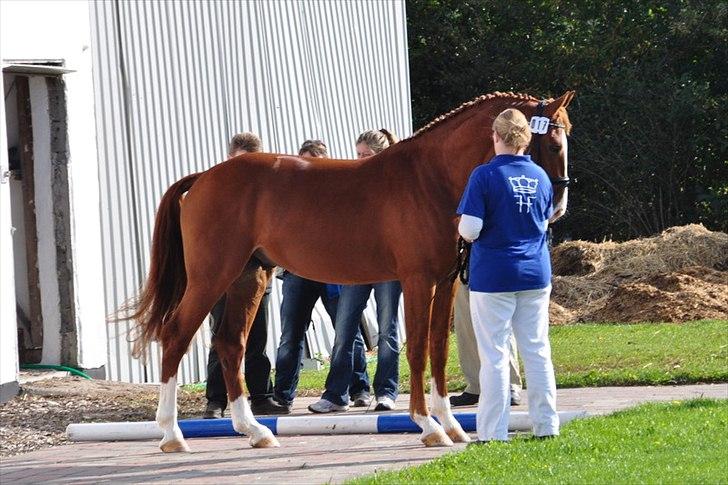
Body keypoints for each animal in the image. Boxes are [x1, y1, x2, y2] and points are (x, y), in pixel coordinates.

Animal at [125, 90, 576, 450]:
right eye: (553, 144)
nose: (557, 208)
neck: (430, 178)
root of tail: (205, 176)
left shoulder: (446, 282)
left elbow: (438, 350)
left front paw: (451, 425)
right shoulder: (418, 281)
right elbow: (417, 349)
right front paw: (428, 426)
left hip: (248, 277)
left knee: (230, 343)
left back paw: (255, 430)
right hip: (211, 277)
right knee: (176, 335)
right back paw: (172, 435)